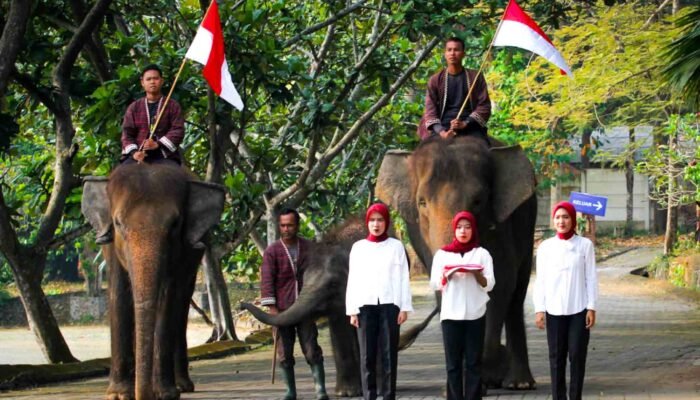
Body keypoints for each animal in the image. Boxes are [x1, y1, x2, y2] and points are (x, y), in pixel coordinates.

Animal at [81, 163, 224, 400]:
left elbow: (168, 296)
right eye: (117, 223)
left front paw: (165, 394)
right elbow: (119, 293)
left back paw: (182, 385)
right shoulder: (111, 245)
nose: (144, 395)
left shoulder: (181, 252)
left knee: (182, 303)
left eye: (175, 224)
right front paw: (119, 395)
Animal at [378, 135, 536, 390]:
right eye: (422, 203)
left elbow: (500, 283)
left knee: (517, 294)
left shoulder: (501, 226)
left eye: (478, 201)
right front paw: (457, 387)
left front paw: (487, 373)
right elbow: (445, 295)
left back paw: (518, 383)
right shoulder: (424, 242)